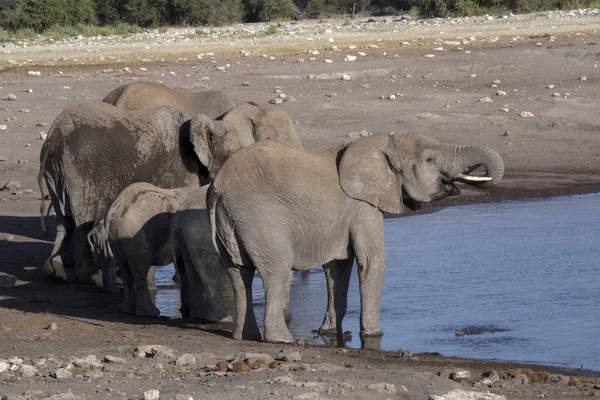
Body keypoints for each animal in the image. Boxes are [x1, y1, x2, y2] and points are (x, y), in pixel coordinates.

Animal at [209, 133, 504, 342]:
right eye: (429, 160)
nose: (457, 183)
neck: (381, 144)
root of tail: (218, 187)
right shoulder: (362, 206)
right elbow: (372, 261)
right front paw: (374, 335)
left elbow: (337, 267)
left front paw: (329, 333)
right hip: (261, 219)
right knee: (276, 272)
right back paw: (281, 340)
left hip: (232, 221)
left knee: (238, 274)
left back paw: (245, 337)